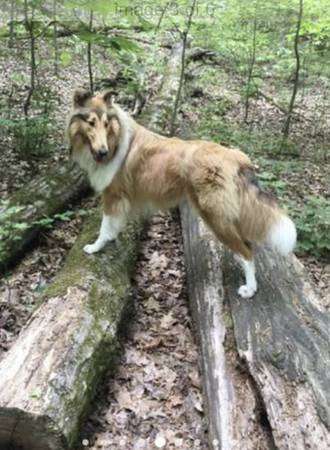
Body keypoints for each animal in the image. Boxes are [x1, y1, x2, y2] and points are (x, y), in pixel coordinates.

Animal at [66, 89, 296, 298]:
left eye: (106, 123)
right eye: (91, 122)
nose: (103, 152)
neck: (116, 138)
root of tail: (236, 156)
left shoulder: (113, 195)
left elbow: (104, 226)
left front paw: (95, 247)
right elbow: (114, 225)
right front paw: (111, 239)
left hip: (215, 216)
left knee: (247, 251)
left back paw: (249, 289)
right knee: (248, 245)